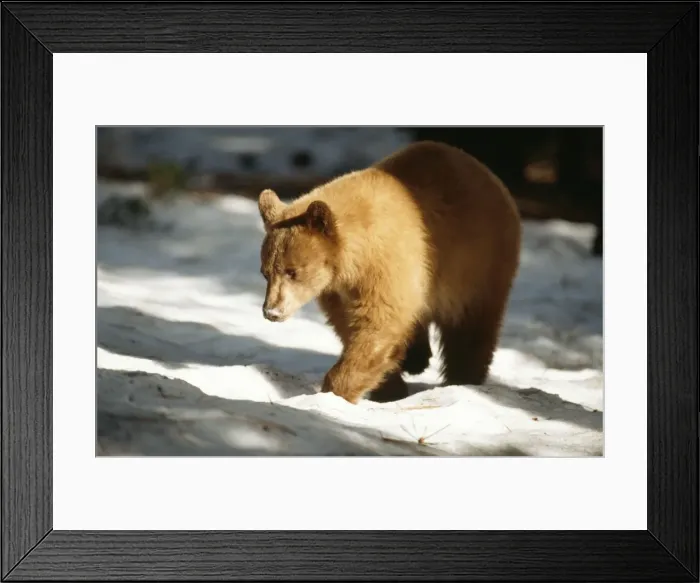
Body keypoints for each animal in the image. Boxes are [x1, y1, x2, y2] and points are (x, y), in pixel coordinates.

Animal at [257, 140, 521, 404]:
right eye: (265, 272)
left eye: (292, 271)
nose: (271, 311)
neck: (353, 260)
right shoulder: (339, 289)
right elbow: (351, 325)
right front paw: (388, 387)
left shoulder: (387, 265)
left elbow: (378, 323)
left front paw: (336, 391)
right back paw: (416, 357)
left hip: (478, 265)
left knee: (471, 329)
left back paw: (462, 378)